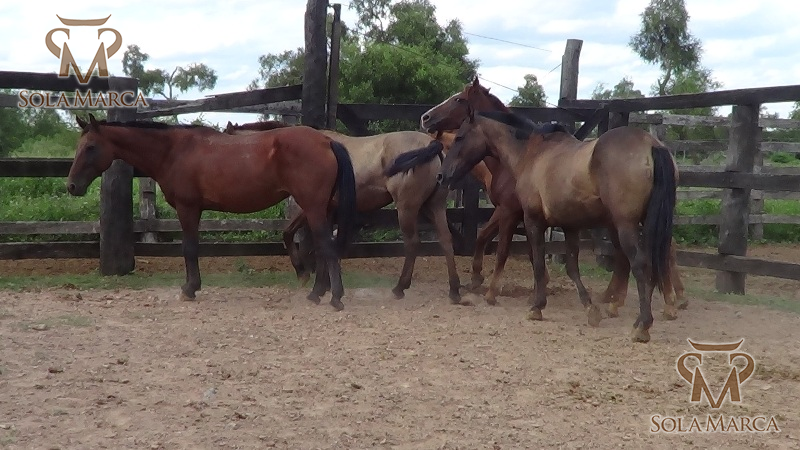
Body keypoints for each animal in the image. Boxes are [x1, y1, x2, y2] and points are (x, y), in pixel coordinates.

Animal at [67, 114, 357, 311]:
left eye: (90, 147)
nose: (71, 186)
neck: (173, 151)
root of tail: (327, 141)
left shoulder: (188, 208)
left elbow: (189, 248)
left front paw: (189, 289)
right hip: (319, 209)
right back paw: (317, 293)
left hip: (314, 208)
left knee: (326, 246)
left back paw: (334, 297)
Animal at [224, 120, 464, 304]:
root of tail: (431, 144)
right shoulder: (326, 213)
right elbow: (321, 246)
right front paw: (323, 288)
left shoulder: (314, 209)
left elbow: (302, 239)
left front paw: (312, 282)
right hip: (434, 206)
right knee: (446, 240)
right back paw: (454, 290)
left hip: (407, 207)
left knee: (412, 243)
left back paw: (399, 288)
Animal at [422, 77, 687, 317]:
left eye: (458, 99)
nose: (426, 118)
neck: (529, 153)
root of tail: (653, 145)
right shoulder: (544, 219)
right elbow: (544, 257)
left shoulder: (515, 213)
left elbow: (511, 251)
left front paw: (499, 293)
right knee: (654, 250)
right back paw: (629, 301)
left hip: (624, 222)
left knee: (643, 257)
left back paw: (655, 309)